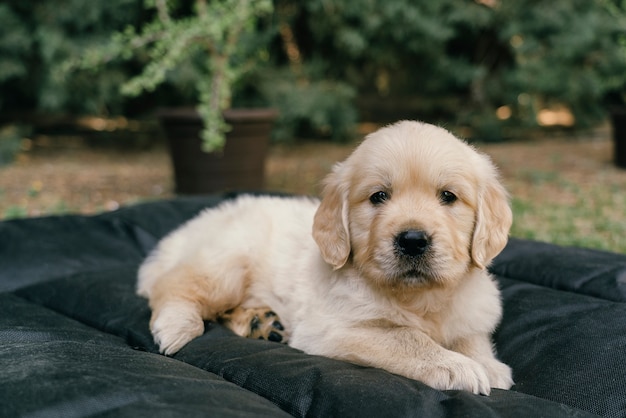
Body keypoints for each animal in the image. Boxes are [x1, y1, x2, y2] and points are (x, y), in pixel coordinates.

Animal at [136, 120, 512, 396]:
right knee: (172, 285)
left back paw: (261, 322)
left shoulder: (471, 309)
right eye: (379, 196)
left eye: (448, 196)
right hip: (226, 264)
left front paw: (487, 364)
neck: (418, 297)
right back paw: (177, 324)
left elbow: (470, 335)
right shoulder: (333, 328)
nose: (413, 240)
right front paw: (456, 366)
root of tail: (184, 231)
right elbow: (406, 337)